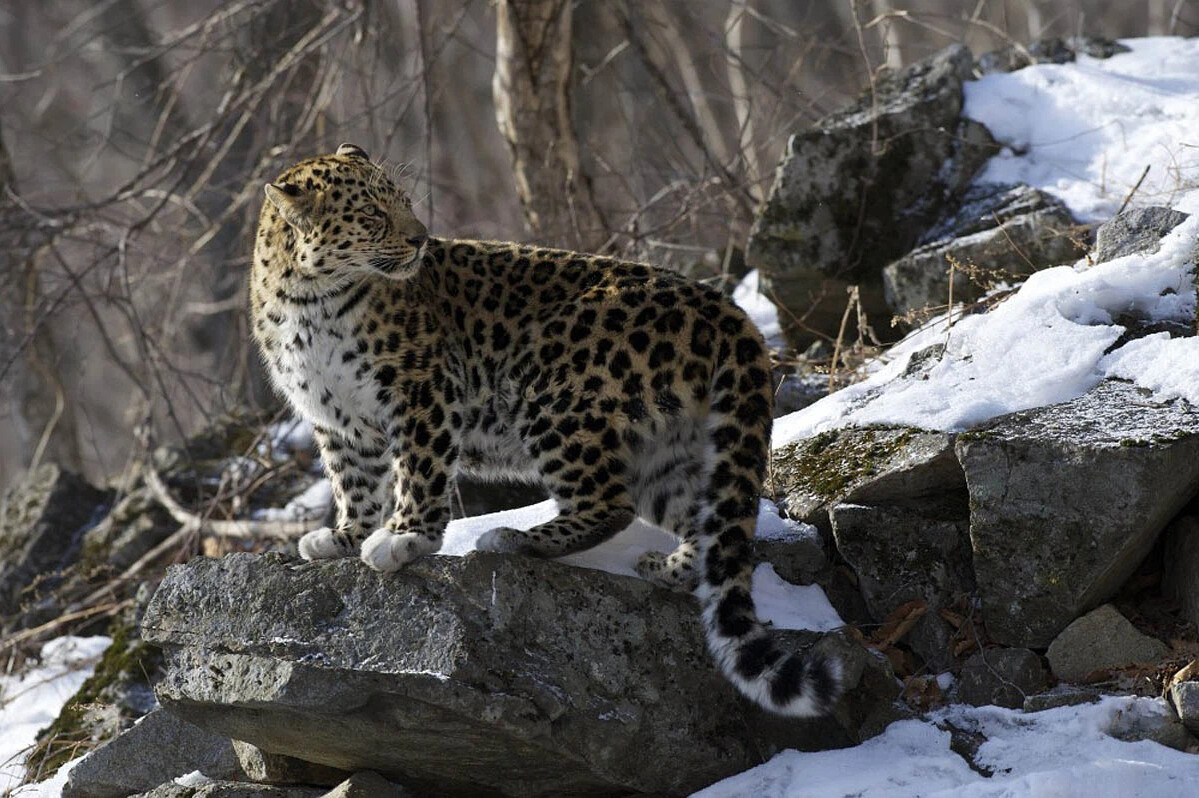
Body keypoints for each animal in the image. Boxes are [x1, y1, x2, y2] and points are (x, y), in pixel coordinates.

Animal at [248, 143, 839, 714]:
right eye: (372, 214)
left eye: (405, 202)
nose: (420, 239)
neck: (308, 300)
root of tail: (726, 307)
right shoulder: (337, 420)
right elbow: (353, 483)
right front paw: (344, 537)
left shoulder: (421, 391)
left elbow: (419, 470)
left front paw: (405, 539)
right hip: (666, 445)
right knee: (703, 520)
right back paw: (668, 568)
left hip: (554, 392)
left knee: (610, 502)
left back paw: (511, 539)